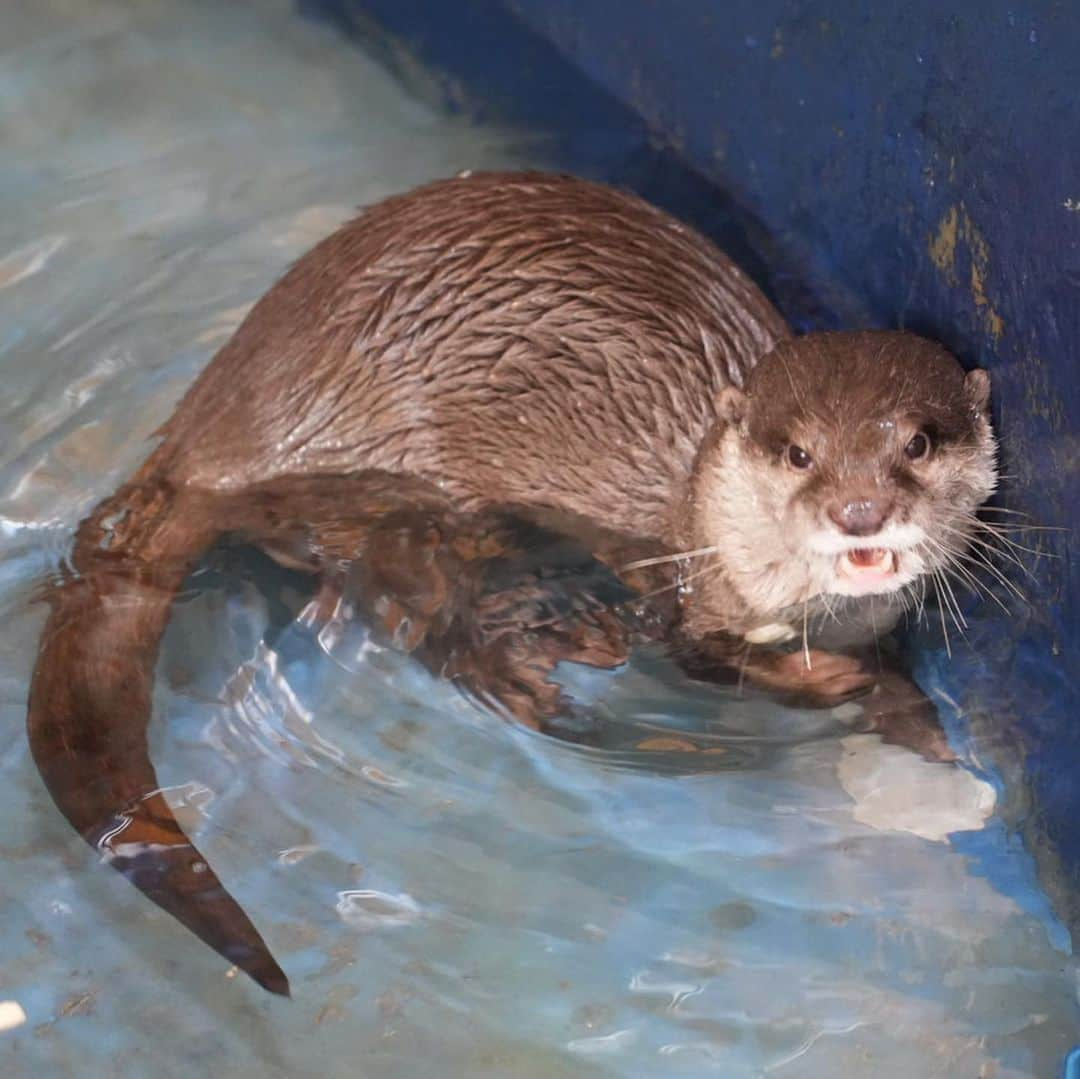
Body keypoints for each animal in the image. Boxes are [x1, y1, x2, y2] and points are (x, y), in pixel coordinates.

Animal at [29, 170, 997, 993]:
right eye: (800, 453)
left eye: (917, 442)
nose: (861, 510)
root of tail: (211, 430)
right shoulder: (677, 590)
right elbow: (706, 660)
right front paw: (823, 680)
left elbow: (898, 684)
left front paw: (924, 732)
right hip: (393, 483)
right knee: (404, 600)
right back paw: (534, 665)